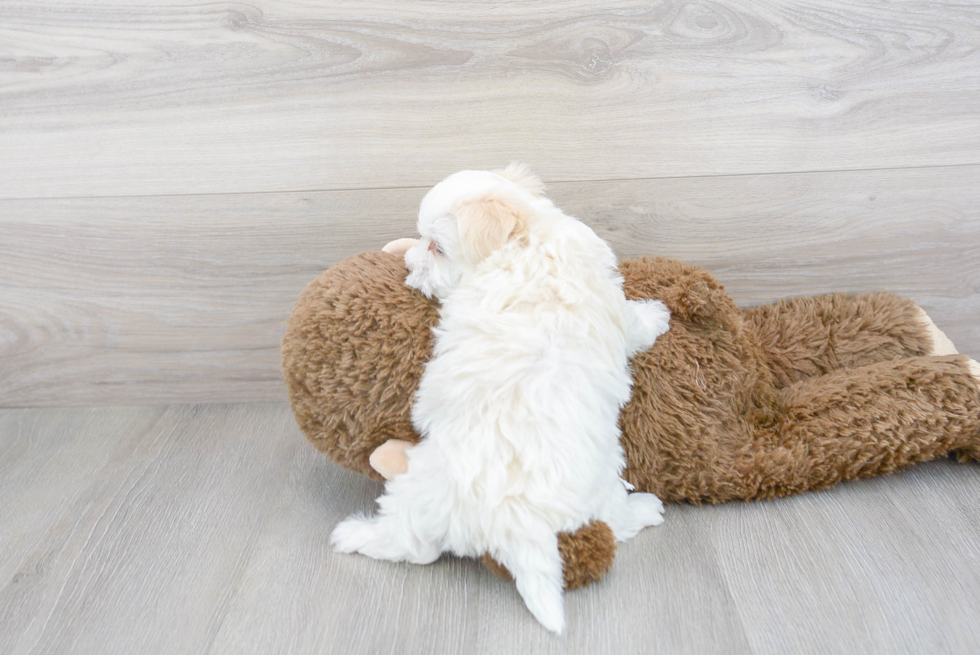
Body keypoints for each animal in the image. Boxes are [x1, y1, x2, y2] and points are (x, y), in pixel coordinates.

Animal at [334, 164, 668, 636]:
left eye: (436, 247)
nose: (409, 265)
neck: (524, 241)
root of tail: (508, 519)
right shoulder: (610, 303)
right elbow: (635, 323)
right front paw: (657, 314)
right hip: (601, 478)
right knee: (613, 521)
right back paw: (644, 510)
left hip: (423, 489)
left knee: (412, 545)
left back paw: (355, 536)